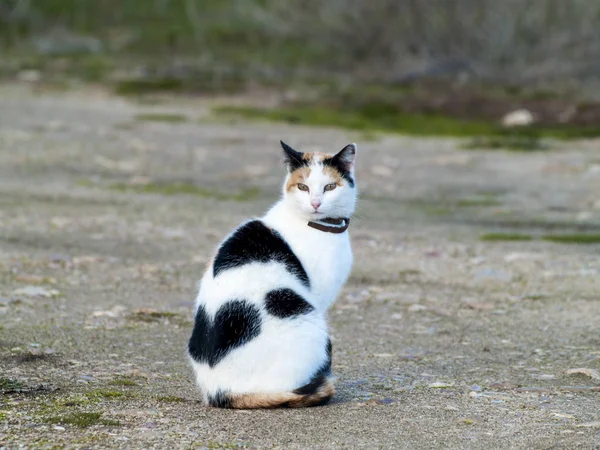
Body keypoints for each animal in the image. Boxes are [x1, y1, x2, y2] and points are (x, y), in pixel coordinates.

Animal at [186, 140, 356, 408]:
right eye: (303, 187)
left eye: (329, 187)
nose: (315, 203)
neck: (315, 225)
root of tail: (218, 392)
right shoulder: (319, 296)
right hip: (308, 320)